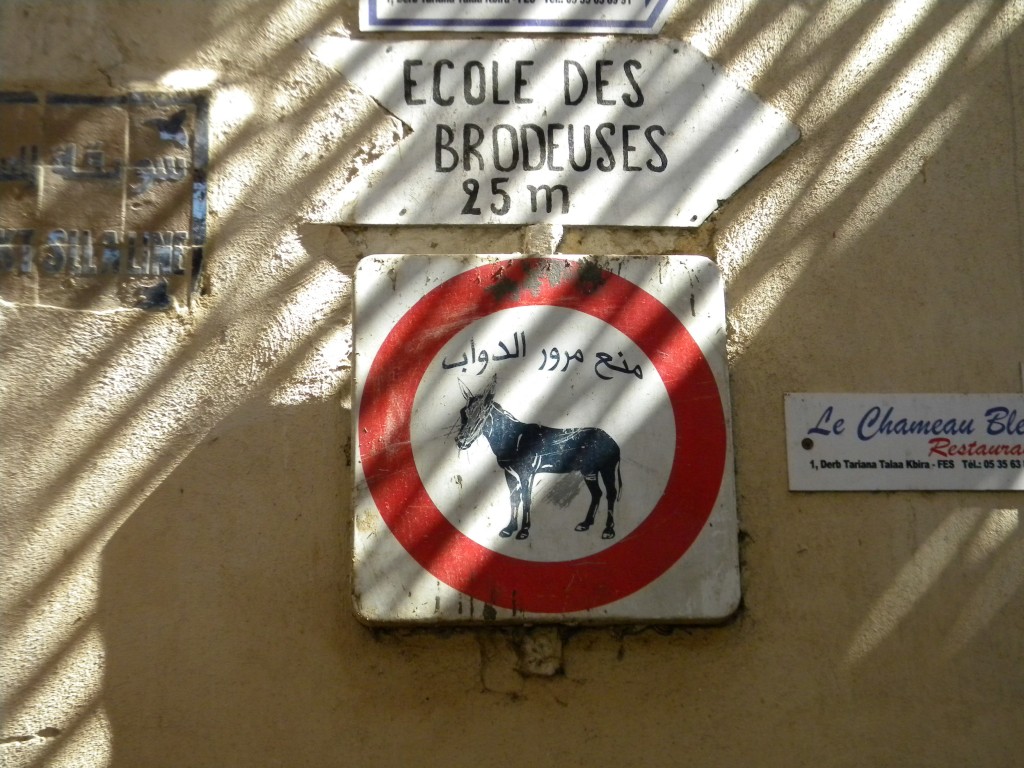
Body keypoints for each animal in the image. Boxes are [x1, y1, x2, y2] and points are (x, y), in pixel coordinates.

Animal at [455, 379, 621, 541]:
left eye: (482, 416)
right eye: (463, 413)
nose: (461, 441)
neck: (515, 439)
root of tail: (612, 440)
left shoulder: (527, 473)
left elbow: (526, 499)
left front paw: (523, 531)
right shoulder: (509, 473)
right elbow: (514, 499)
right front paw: (509, 529)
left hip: (607, 469)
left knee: (611, 493)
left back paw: (608, 530)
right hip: (589, 471)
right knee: (597, 493)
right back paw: (586, 524)